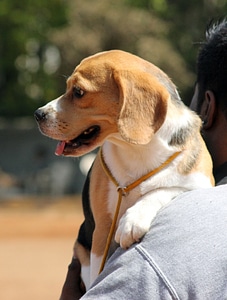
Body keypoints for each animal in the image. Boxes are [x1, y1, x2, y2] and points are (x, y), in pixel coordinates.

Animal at [34, 49, 214, 290]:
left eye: (78, 92)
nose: (38, 114)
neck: (137, 150)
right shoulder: (102, 231)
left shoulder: (200, 183)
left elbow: (162, 189)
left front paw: (133, 220)